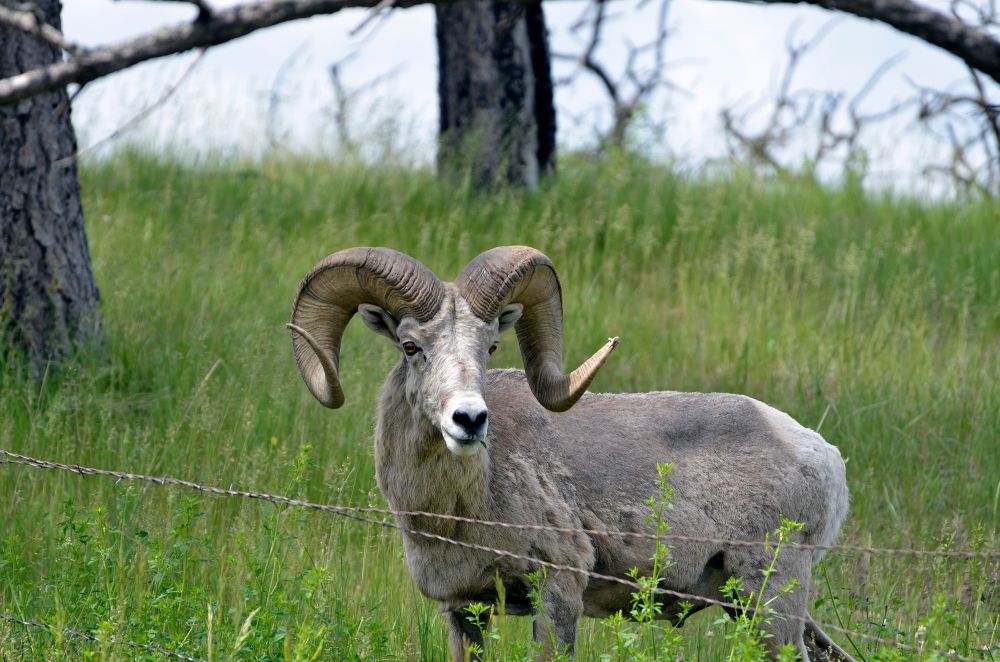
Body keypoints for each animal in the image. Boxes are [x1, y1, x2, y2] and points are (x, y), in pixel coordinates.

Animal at [287, 246, 853, 661]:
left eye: (490, 347)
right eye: (410, 346)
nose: (469, 419)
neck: (456, 510)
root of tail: (825, 458)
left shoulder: (558, 590)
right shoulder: (464, 610)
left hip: (771, 600)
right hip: (757, 608)